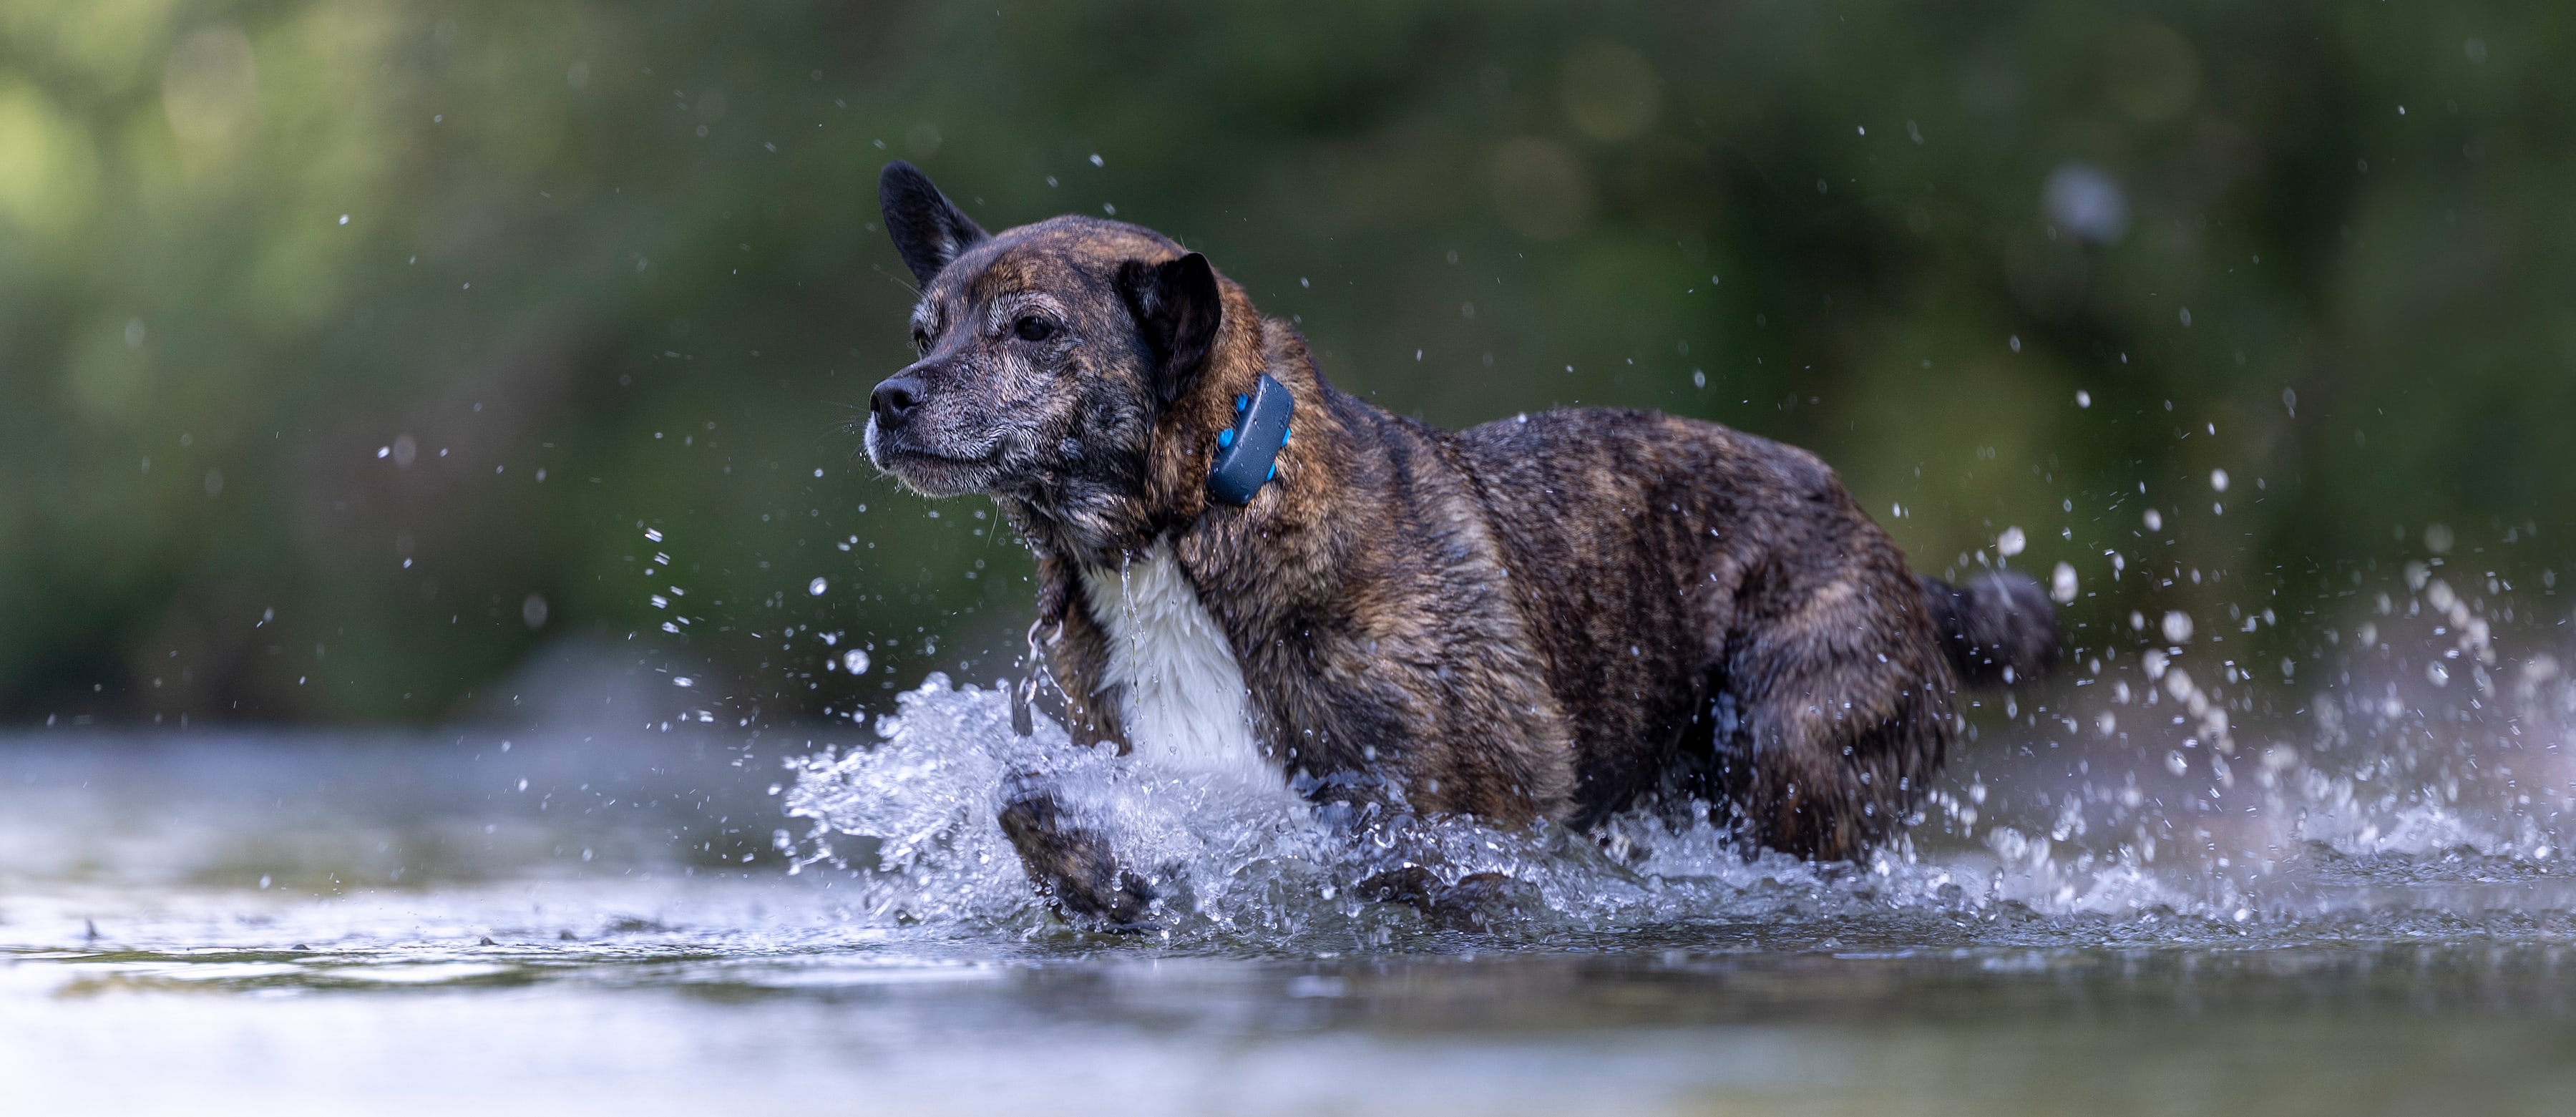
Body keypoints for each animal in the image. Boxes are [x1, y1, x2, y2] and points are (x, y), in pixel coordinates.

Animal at [860, 160, 2050, 926]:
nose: (888, 398)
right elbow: (1044, 814)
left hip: (1789, 754)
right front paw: (1091, 868)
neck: (1191, 527)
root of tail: (1896, 559)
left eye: (1034, 331)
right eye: (923, 330)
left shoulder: (1439, 830)